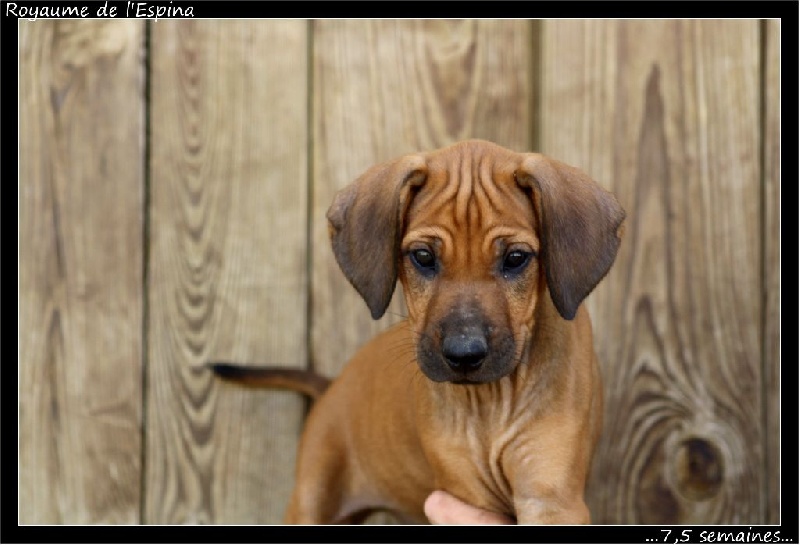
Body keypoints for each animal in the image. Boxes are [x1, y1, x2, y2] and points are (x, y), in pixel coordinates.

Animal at [211, 139, 624, 524]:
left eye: (516, 258)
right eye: (423, 257)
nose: (464, 354)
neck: (491, 402)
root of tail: (332, 387)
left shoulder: (550, 496)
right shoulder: (467, 492)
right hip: (313, 496)